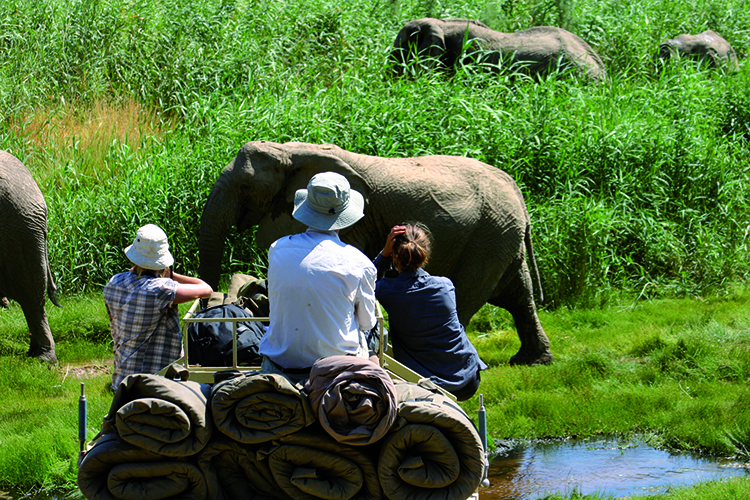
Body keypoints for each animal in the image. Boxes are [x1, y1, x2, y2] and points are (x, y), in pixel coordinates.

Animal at [198, 139, 552, 366]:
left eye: (245, 187)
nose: (209, 306)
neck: (288, 151)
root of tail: (517, 193)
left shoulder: (356, 222)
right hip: (501, 233)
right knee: (518, 295)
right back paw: (531, 361)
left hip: (488, 236)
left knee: (467, 295)